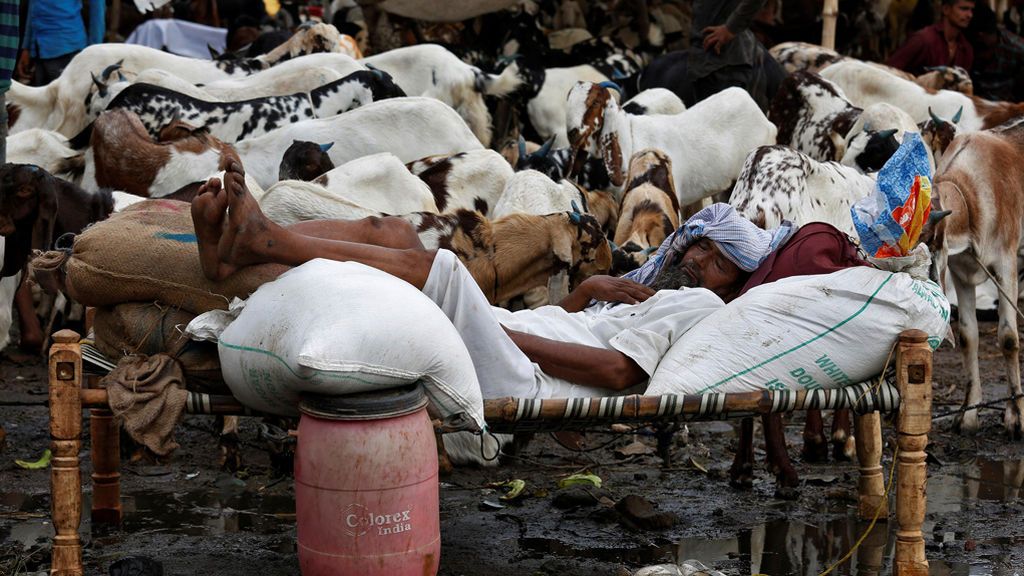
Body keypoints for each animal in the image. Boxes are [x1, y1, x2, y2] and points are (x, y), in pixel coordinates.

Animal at [925, 120, 1024, 434]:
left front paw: (1016, 416)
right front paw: (967, 415)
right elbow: (968, 336)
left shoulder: (1006, 263)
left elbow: (1008, 336)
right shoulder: (961, 272)